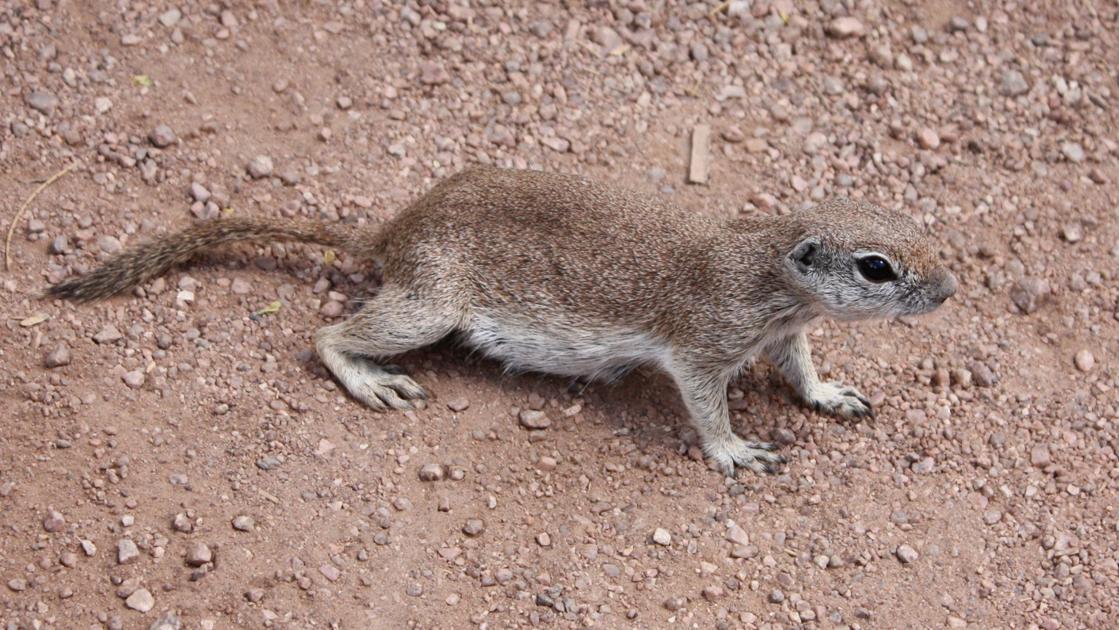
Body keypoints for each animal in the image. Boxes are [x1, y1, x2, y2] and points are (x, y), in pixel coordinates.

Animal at [46, 166, 957, 476]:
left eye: (917, 226)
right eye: (876, 267)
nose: (949, 288)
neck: (767, 267)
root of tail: (397, 230)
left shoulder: (784, 333)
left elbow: (802, 372)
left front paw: (830, 395)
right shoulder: (706, 341)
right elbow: (705, 404)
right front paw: (734, 449)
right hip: (427, 307)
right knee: (323, 336)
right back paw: (370, 381)